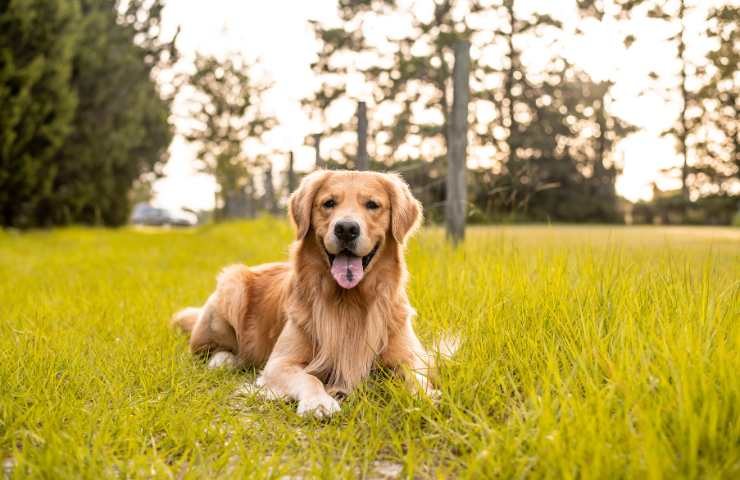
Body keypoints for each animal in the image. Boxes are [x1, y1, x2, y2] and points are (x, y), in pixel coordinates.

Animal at [171, 170, 436, 416]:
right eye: (329, 203)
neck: (349, 302)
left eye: (372, 205)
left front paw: (425, 397)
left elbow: (417, 377)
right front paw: (319, 402)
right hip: (232, 284)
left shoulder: (411, 357)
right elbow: (310, 377)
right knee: (208, 349)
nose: (346, 229)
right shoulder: (279, 363)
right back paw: (225, 359)